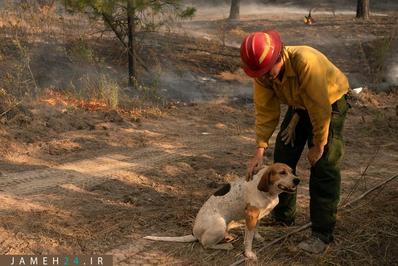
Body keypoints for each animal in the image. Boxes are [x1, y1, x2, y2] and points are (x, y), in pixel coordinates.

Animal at [143, 162, 298, 260]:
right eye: (282, 173)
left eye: (291, 171)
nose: (298, 180)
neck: (269, 193)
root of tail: (194, 232)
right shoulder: (251, 215)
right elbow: (248, 239)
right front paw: (249, 254)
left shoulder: (257, 215)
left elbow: (255, 230)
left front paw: (257, 236)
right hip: (219, 225)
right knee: (205, 244)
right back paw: (226, 245)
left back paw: (228, 237)